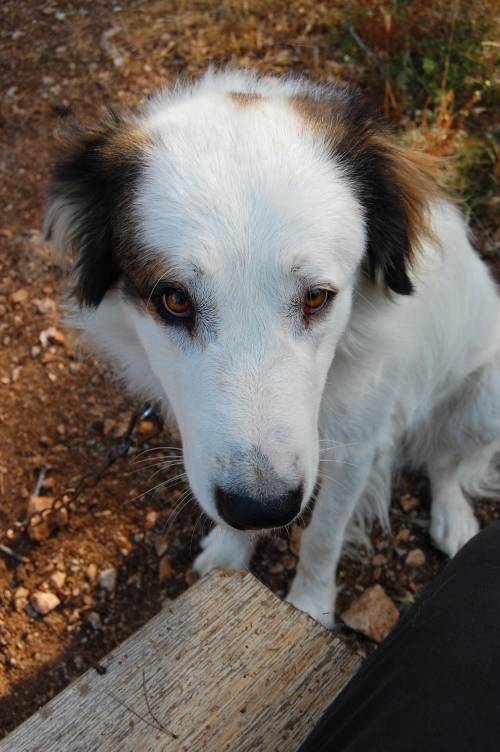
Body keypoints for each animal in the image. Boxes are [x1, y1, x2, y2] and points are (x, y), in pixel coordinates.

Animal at [44, 69, 500, 627]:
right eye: (174, 299)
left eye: (317, 297)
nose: (262, 508)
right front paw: (230, 557)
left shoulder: (356, 446)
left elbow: (323, 536)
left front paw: (309, 608)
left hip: (485, 400)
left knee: (447, 461)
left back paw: (454, 517)